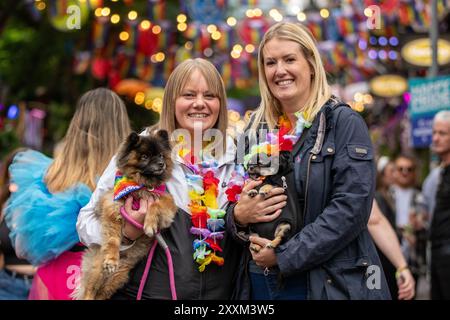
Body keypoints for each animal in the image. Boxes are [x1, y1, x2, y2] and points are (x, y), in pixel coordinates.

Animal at [74, 130, 178, 300]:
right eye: (145, 157)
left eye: (161, 156)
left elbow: (155, 205)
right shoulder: (113, 207)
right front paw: (111, 258)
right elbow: (113, 240)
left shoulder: (166, 203)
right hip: (97, 269)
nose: (161, 164)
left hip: (118, 276)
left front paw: (149, 224)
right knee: (90, 291)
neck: (141, 186)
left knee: (101, 293)